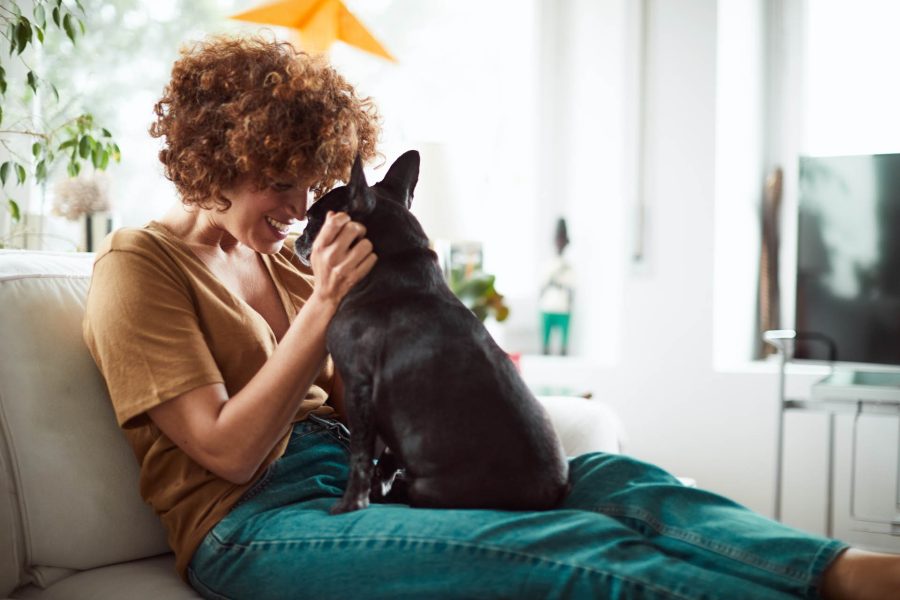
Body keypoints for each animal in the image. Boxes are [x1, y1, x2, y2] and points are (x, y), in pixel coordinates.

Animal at [298, 152, 572, 512]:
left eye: (312, 219)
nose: (299, 237)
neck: (393, 263)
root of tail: (551, 495)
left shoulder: (358, 386)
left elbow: (360, 455)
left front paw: (351, 503)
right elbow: (387, 457)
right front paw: (377, 490)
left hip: (432, 488)